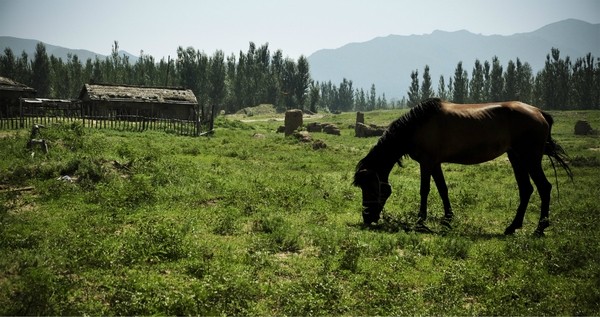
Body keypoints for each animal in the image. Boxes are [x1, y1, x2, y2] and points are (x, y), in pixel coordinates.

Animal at [354, 98, 576, 235]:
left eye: (370, 187)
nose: (367, 217)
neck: (417, 126)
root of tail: (539, 112)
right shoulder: (435, 163)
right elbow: (442, 189)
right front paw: (447, 219)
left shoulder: (426, 163)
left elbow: (424, 190)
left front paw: (420, 220)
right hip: (516, 158)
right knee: (526, 189)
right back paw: (512, 227)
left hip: (530, 158)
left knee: (544, 187)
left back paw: (540, 228)